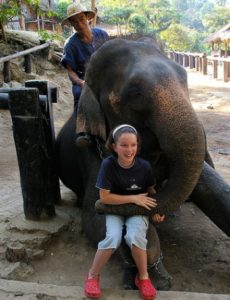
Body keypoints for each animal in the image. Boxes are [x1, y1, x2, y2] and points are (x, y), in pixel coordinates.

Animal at [56, 37, 230, 290]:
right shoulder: (90, 154)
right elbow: (93, 219)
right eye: (135, 93)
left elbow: (218, 191)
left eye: (184, 79)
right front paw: (158, 277)